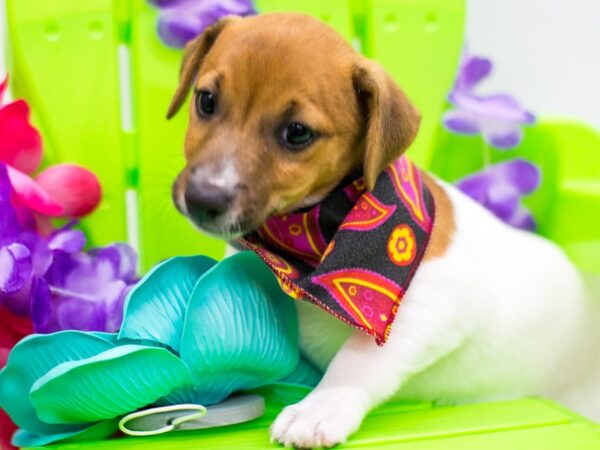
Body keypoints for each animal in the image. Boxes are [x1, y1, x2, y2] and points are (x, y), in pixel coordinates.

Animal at [168, 13, 600, 450]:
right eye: (206, 101)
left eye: (297, 132)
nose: (203, 197)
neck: (309, 237)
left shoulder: (434, 303)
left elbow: (360, 357)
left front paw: (321, 406)